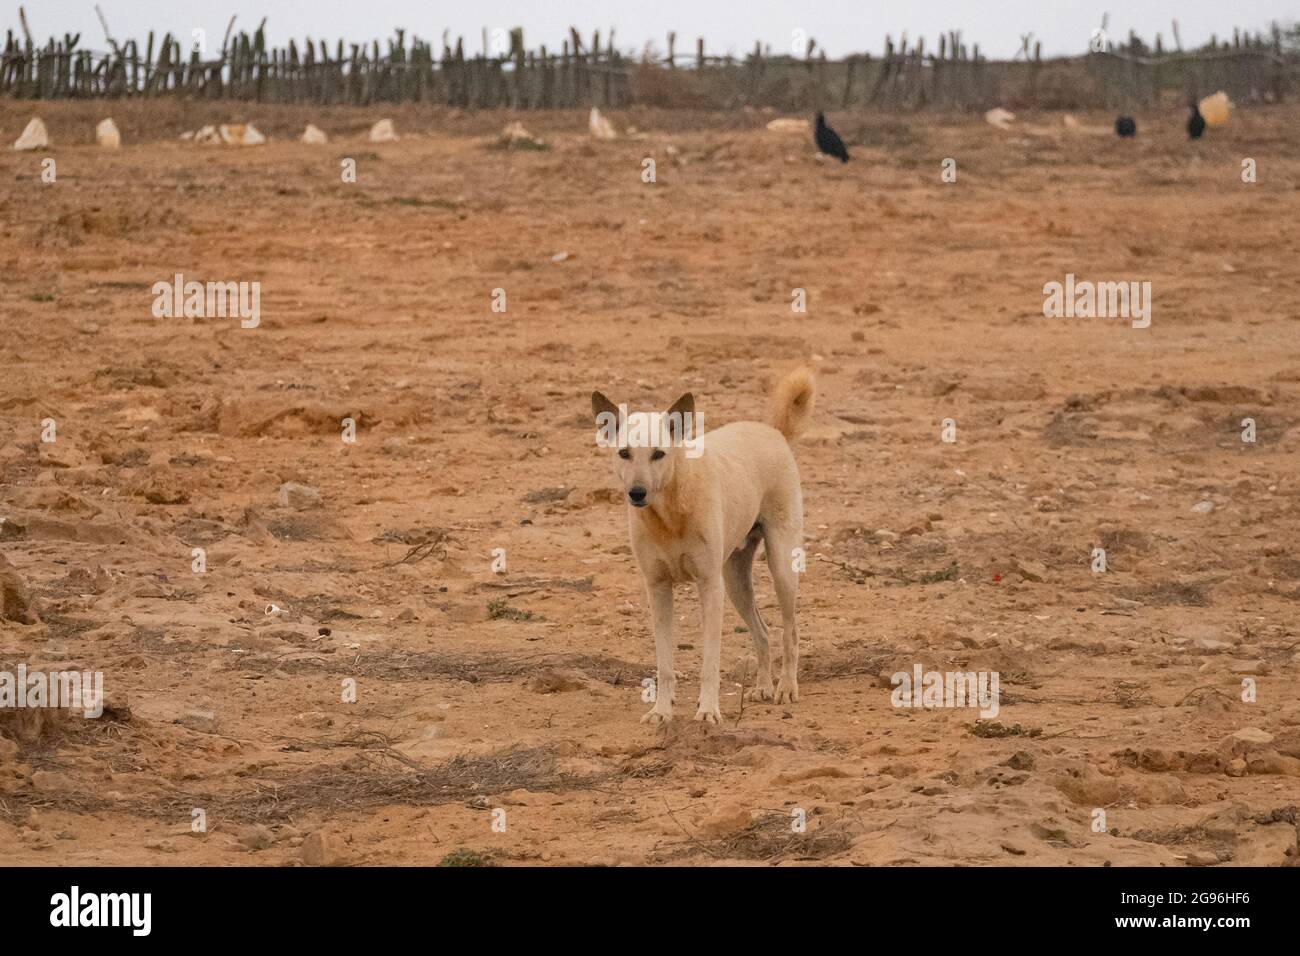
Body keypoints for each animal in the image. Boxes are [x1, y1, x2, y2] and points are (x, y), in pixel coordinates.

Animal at [592, 369, 811, 723]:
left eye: (659, 454)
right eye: (624, 453)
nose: (636, 493)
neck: (669, 515)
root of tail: (773, 431)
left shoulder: (709, 586)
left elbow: (710, 663)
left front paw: (708, 710)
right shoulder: (658, 589)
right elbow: (665, 664)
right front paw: (661, 711)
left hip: (781, 567)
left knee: (789, 631)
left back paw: (786, 688)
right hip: (735, 582)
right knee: (762, 632)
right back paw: (763, 686)